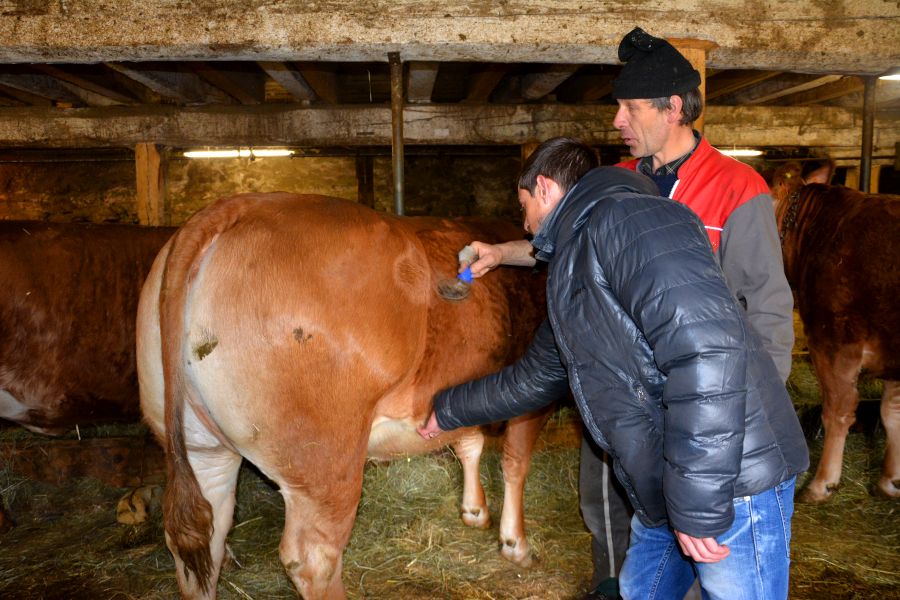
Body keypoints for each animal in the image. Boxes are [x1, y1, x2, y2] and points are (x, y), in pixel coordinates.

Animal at [137, 195, 552, 596]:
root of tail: (231, 207)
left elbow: (469, 443)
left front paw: (474, 512)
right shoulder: (534, 393)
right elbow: (515, 463)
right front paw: (516, 544)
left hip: (200, 447)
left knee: (203, 540)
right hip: (323, 461)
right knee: (313, 559)